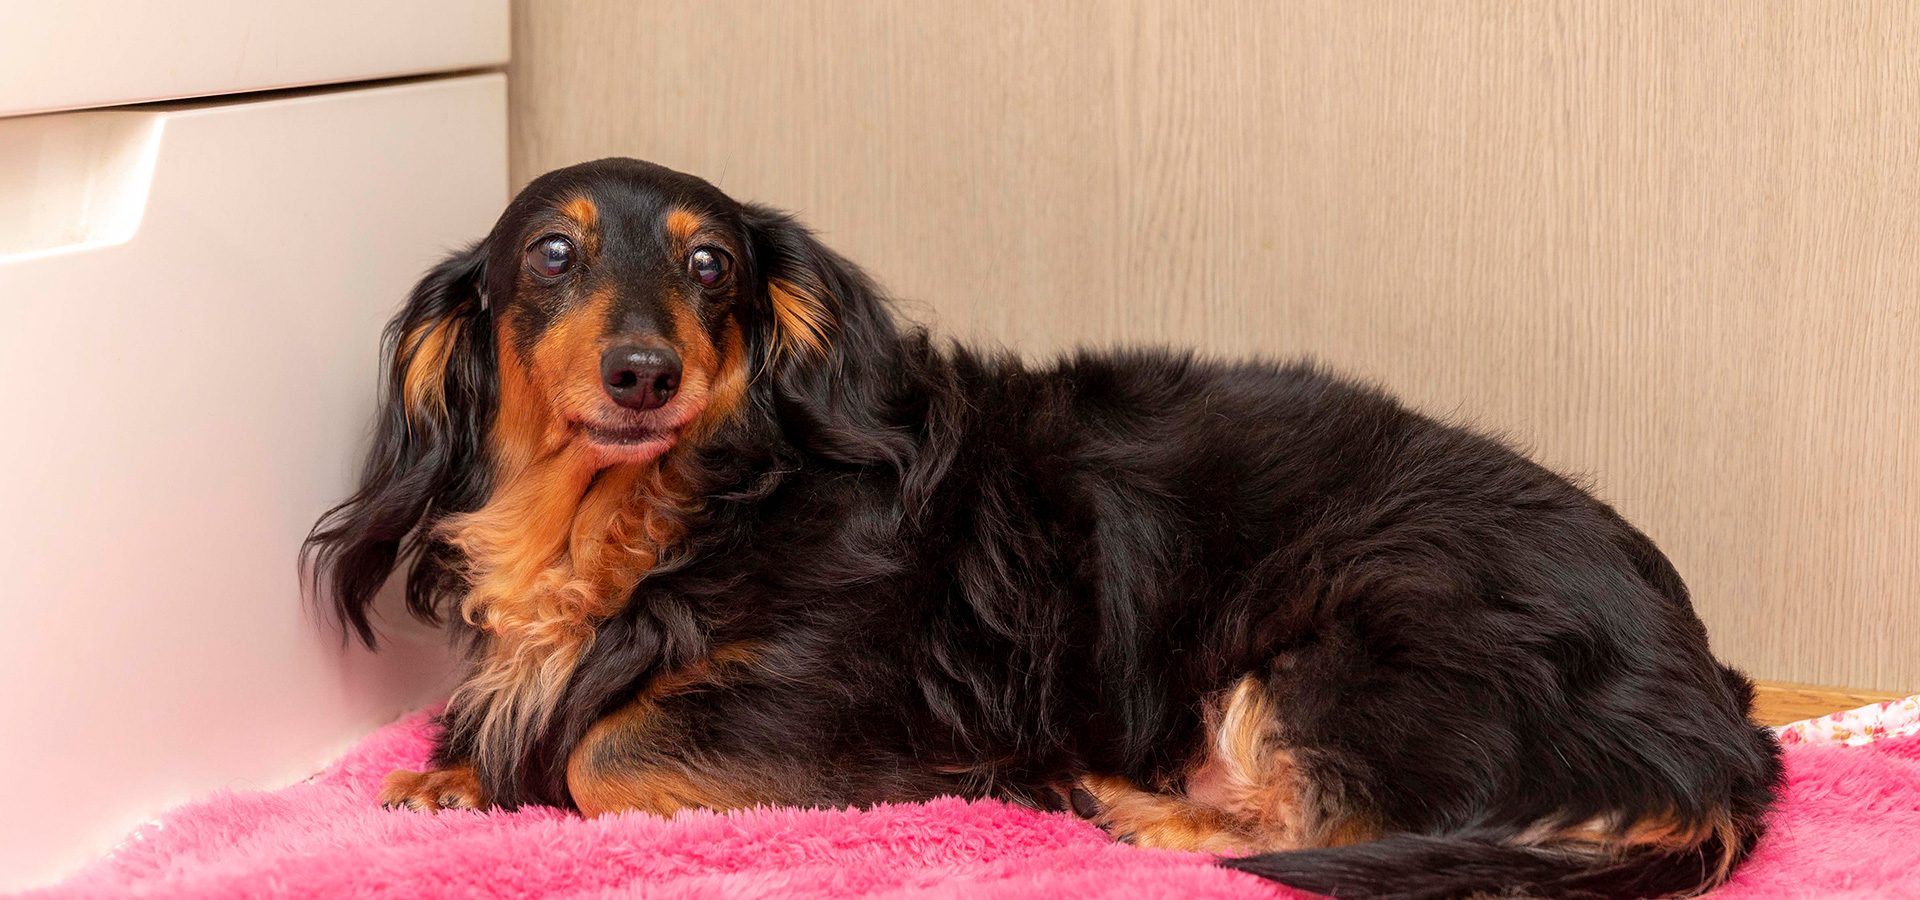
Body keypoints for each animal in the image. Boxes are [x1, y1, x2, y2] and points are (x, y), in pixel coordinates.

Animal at [299, 158, 1781, 894]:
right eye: (551, 256)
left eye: (709, 264)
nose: (644, 375)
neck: (655, 520)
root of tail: (1720, 733)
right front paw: (452, 773)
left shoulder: (852, 716)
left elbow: (602, 751)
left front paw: (517, 774)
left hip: (1355, 625)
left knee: (1338, 830)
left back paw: (1125, 809)